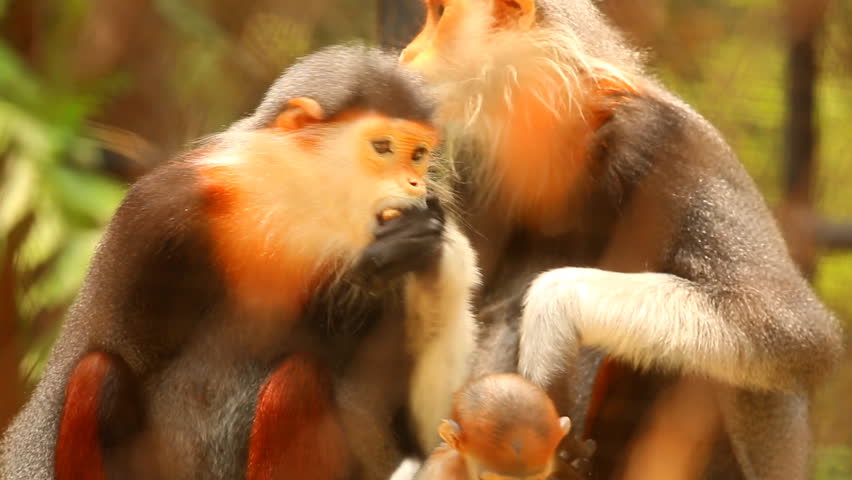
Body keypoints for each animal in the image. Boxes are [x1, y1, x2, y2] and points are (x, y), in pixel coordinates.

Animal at [0, 45, 480, 480]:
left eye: (417, 155)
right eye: (382, 147)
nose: (415, 182)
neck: (286, 214)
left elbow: (425, 432)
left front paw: (442, 252)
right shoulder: (152, 215)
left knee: (296, 380)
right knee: (96, 372)